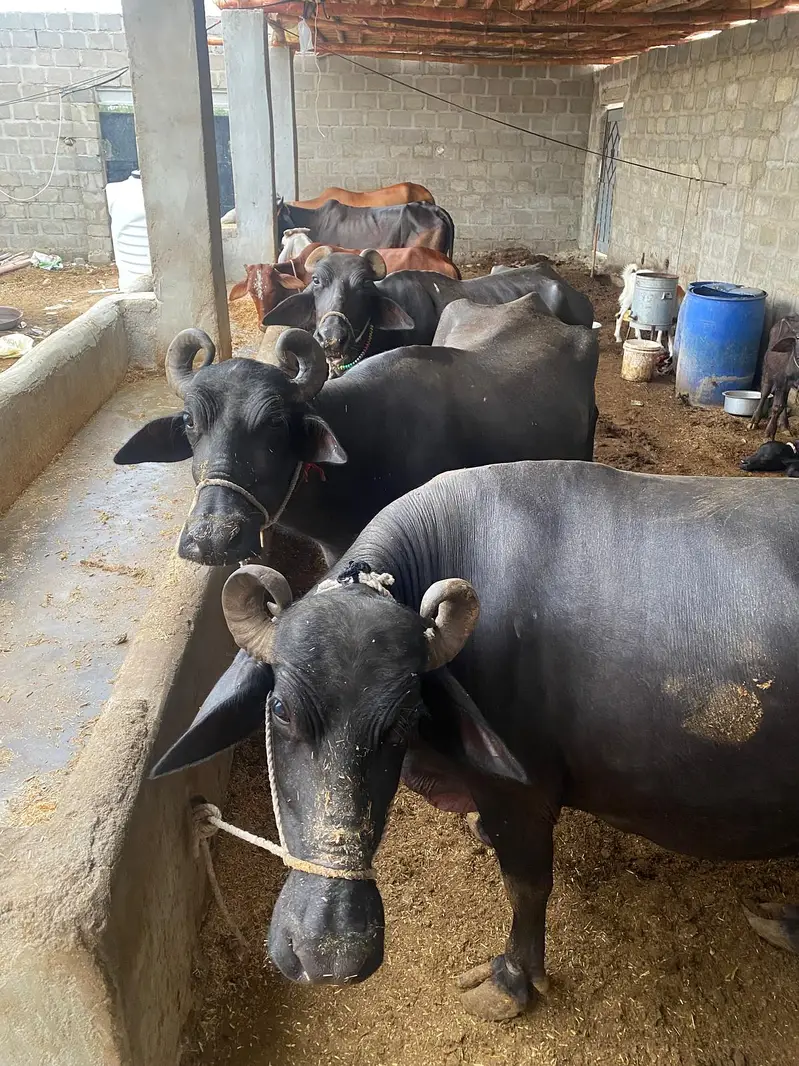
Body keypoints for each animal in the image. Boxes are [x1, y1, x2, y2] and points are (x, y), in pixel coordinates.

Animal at [151, 460, 799, 1020]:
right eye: (281, 709)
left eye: (405, 718)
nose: (328, 953)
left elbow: (527, 886)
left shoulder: (522, 796)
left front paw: (512, 980)